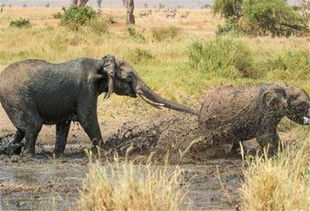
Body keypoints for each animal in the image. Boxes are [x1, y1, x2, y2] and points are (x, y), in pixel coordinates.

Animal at [0, 55, 197, 156]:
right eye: (129, 77)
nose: (199, 114)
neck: (101, 63)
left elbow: (64, 125)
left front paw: (57, 155)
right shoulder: (86, 89)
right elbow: (87, 119)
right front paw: (106, 152)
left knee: (22, 129)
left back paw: (13, 151)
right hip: (17, 96)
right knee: (33, 126)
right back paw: (28, 156)